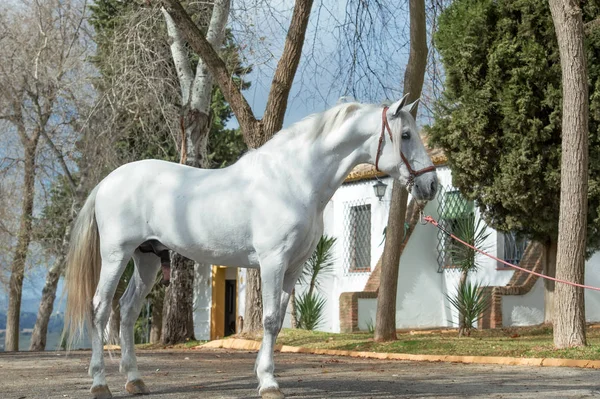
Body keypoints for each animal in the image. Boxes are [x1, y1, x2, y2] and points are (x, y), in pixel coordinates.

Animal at [64, 94, 436, 399]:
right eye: (405, 135)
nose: (431, 184)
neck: (292, 180)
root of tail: (108, 181)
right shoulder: (273, 262)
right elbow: (270, 320)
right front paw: (269, 383)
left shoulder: (294, 267)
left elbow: (280, 319)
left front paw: (264, 375)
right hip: (116, 255)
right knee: (100, 308)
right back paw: (99, 384)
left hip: (148, 259)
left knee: (126, 310)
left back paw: (135, 381)